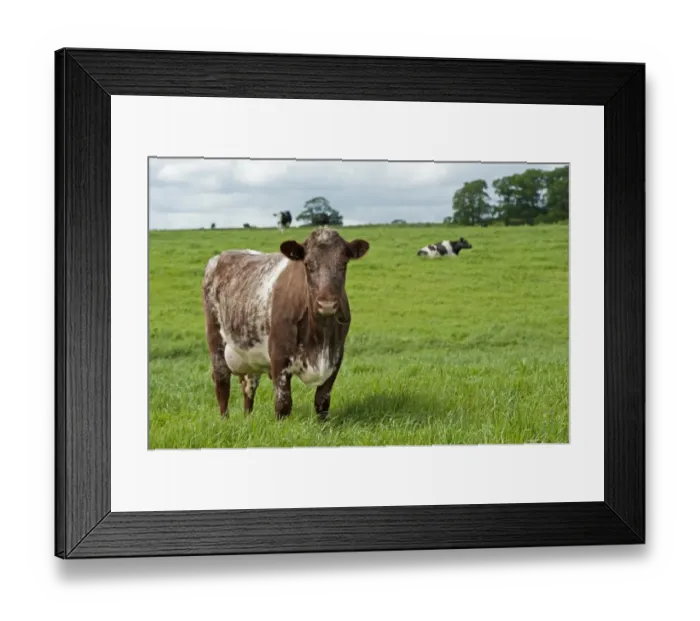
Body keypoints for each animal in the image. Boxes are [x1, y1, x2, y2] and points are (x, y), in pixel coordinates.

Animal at [202, 227, 370, 422]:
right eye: (307, 265)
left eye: (344, 264)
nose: (327, 304)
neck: (319, 336)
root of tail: (220, 256)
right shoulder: (279, 357)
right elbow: (283, 404)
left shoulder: (335, 357)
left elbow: (322, 401)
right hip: (216, 341)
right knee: (222, 384)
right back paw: (224, 420)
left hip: (251, 354)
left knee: (249, 387)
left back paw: (247, 419)